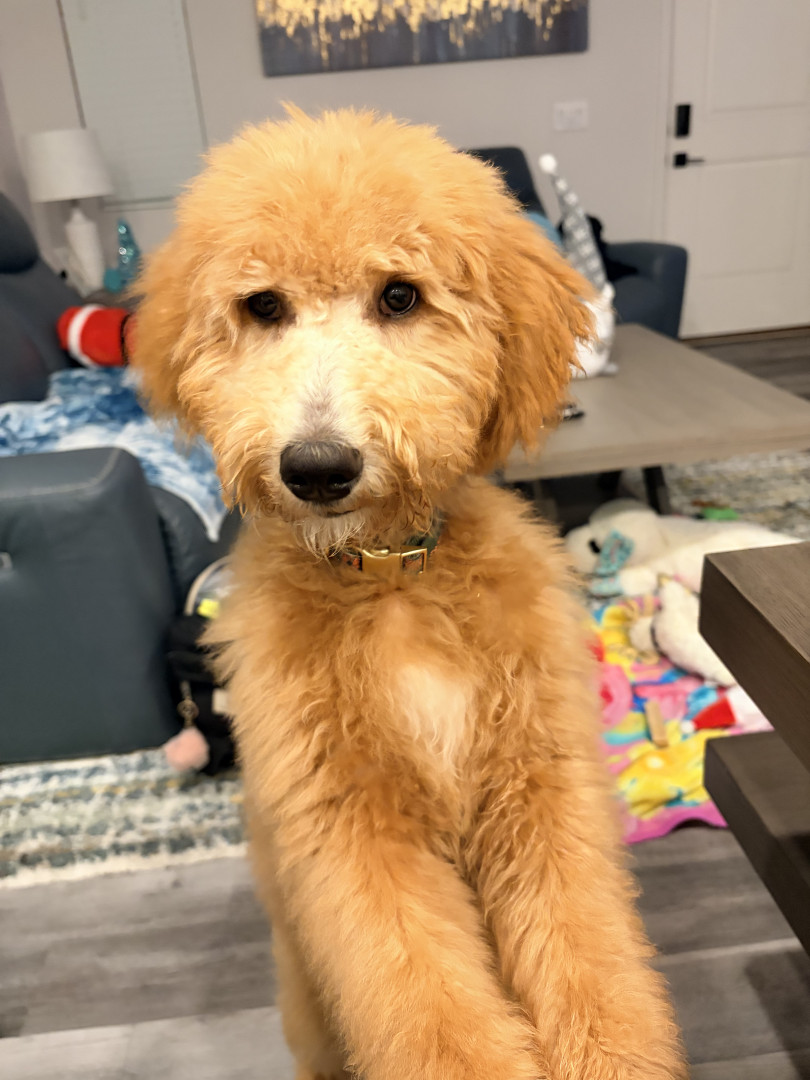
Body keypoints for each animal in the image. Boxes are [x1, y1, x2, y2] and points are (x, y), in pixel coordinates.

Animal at [133, 107, 686, 1080]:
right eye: (262, 306)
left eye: (400, 296)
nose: (318, 467)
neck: (391, 581)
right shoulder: (355, 831)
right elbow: (427, 1003)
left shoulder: (540, 790)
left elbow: (589, 961)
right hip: (310, 1007)